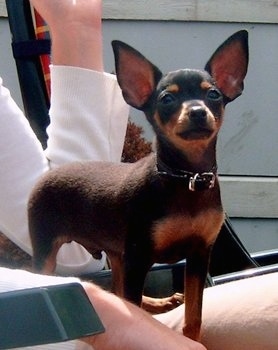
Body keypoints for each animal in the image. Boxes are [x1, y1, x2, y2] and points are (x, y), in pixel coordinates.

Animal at [28, 30, 248, 340]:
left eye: (213, 94)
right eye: (167, 99)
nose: (197, 112)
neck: (186, 177)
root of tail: (50, 172)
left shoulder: (198, 255)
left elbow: (194, 316)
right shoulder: (139, 256)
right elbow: (135, 313)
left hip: (118, 254)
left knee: (118, 290)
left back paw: (159, 301)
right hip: (48, 250)